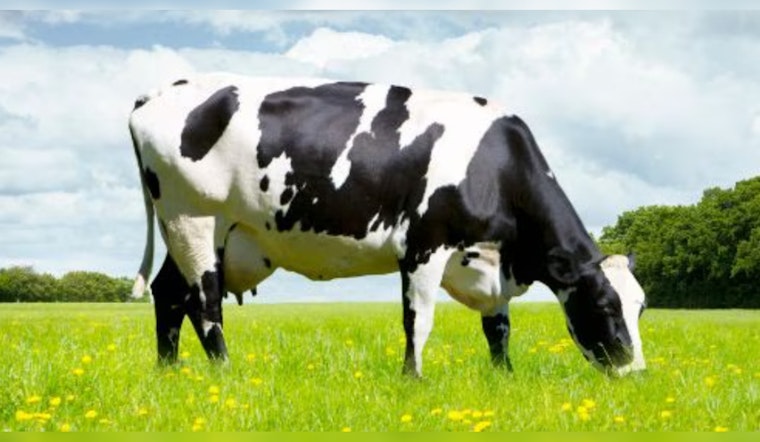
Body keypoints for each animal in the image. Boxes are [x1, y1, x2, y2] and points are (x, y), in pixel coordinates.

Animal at [128, 73, 647, 377]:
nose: (638, 371)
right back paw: (225, 374)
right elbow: (419, 319)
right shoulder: (423, 244)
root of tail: (166, 88)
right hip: (194, 218)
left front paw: (505, 378)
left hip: (201, 232)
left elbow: (498, 329)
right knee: (205, 302)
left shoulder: (491, 258)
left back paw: (169, 371)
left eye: (641, 308)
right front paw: (412, 379)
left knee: (169, 294)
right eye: (605, 306)